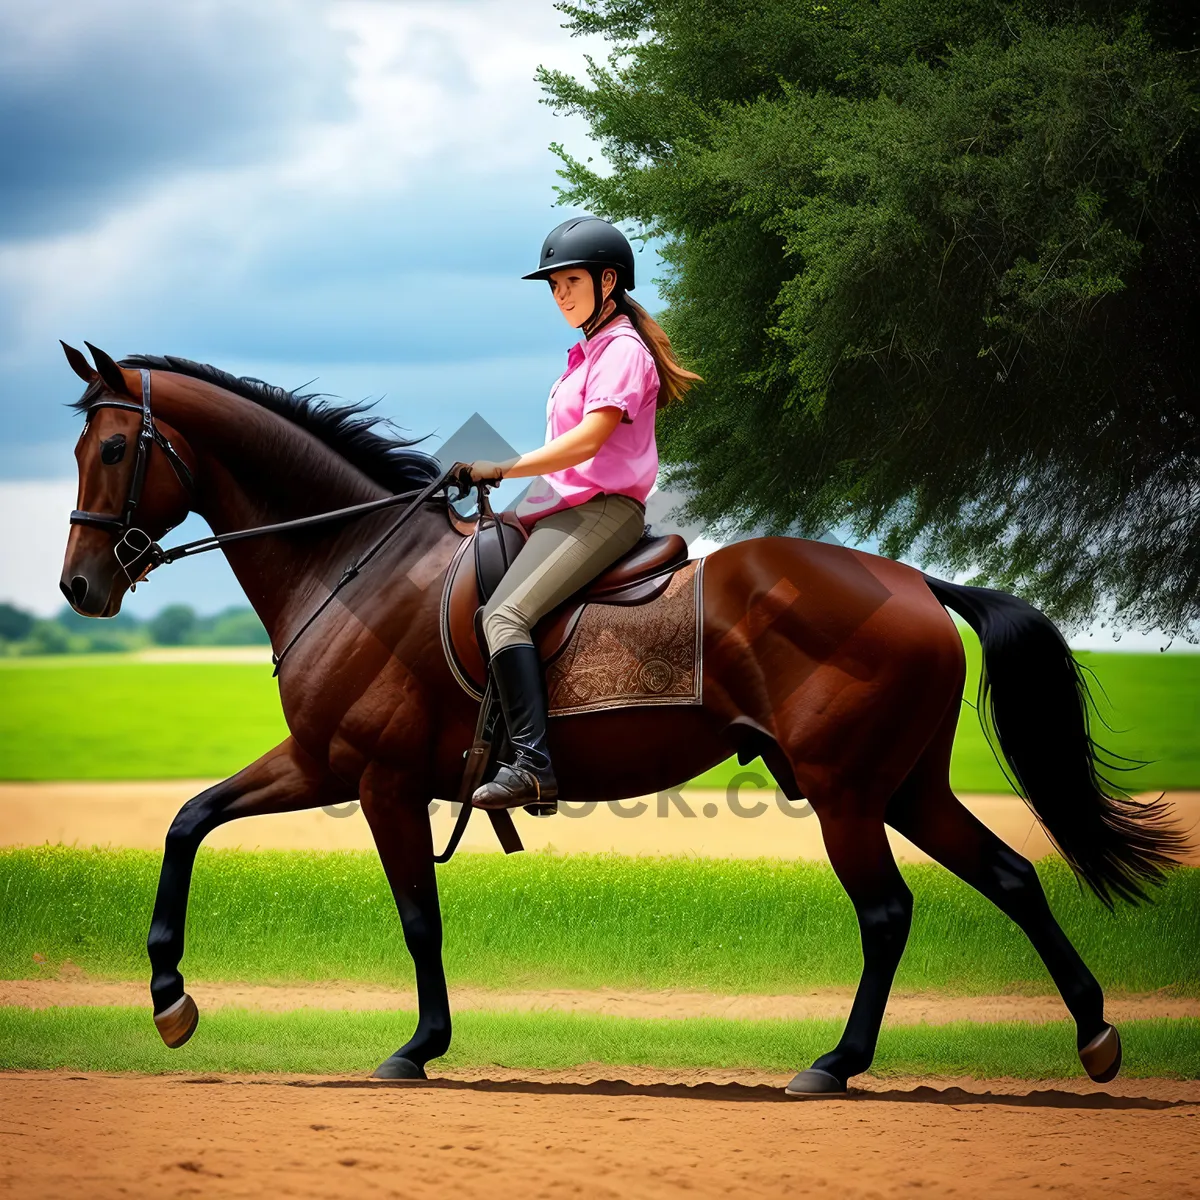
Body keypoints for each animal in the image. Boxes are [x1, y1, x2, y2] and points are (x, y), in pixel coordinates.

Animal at [56, 340, 1180, 1099]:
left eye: (112, 448)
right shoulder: (322, 763)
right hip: (903, 785)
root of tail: (911, 581)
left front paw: (415, 1048)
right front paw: (168, 996)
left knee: (888, 912)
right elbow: (190, 820)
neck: (352, 562)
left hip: (847, 793)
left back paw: (837, 1063)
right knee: (1013, 876)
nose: (78, 586)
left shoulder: (374, 779)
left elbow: (417, 915)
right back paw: (1093, 1036)